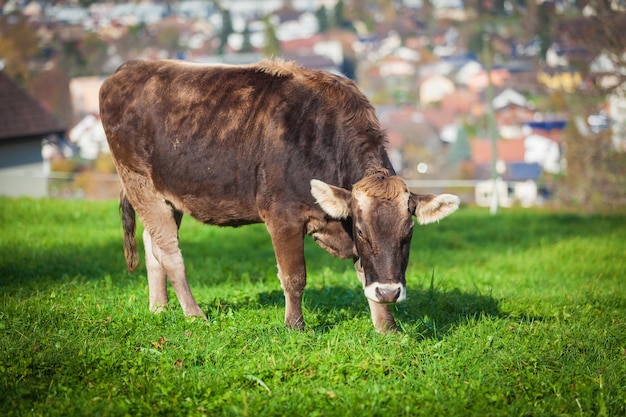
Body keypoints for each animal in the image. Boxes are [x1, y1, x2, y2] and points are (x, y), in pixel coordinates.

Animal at [98, 58, 458, 334]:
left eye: (408, 234)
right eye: (361, 231)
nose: (389, 291)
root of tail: (130, 67)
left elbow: (362, 271)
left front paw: (386, 327)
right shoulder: (283, 216)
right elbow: (294, 276)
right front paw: (295, 326)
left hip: (166, 195)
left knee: (152, 244)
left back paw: (159, 308)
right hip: (139, 181)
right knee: (171, 253)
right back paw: (194, 314)